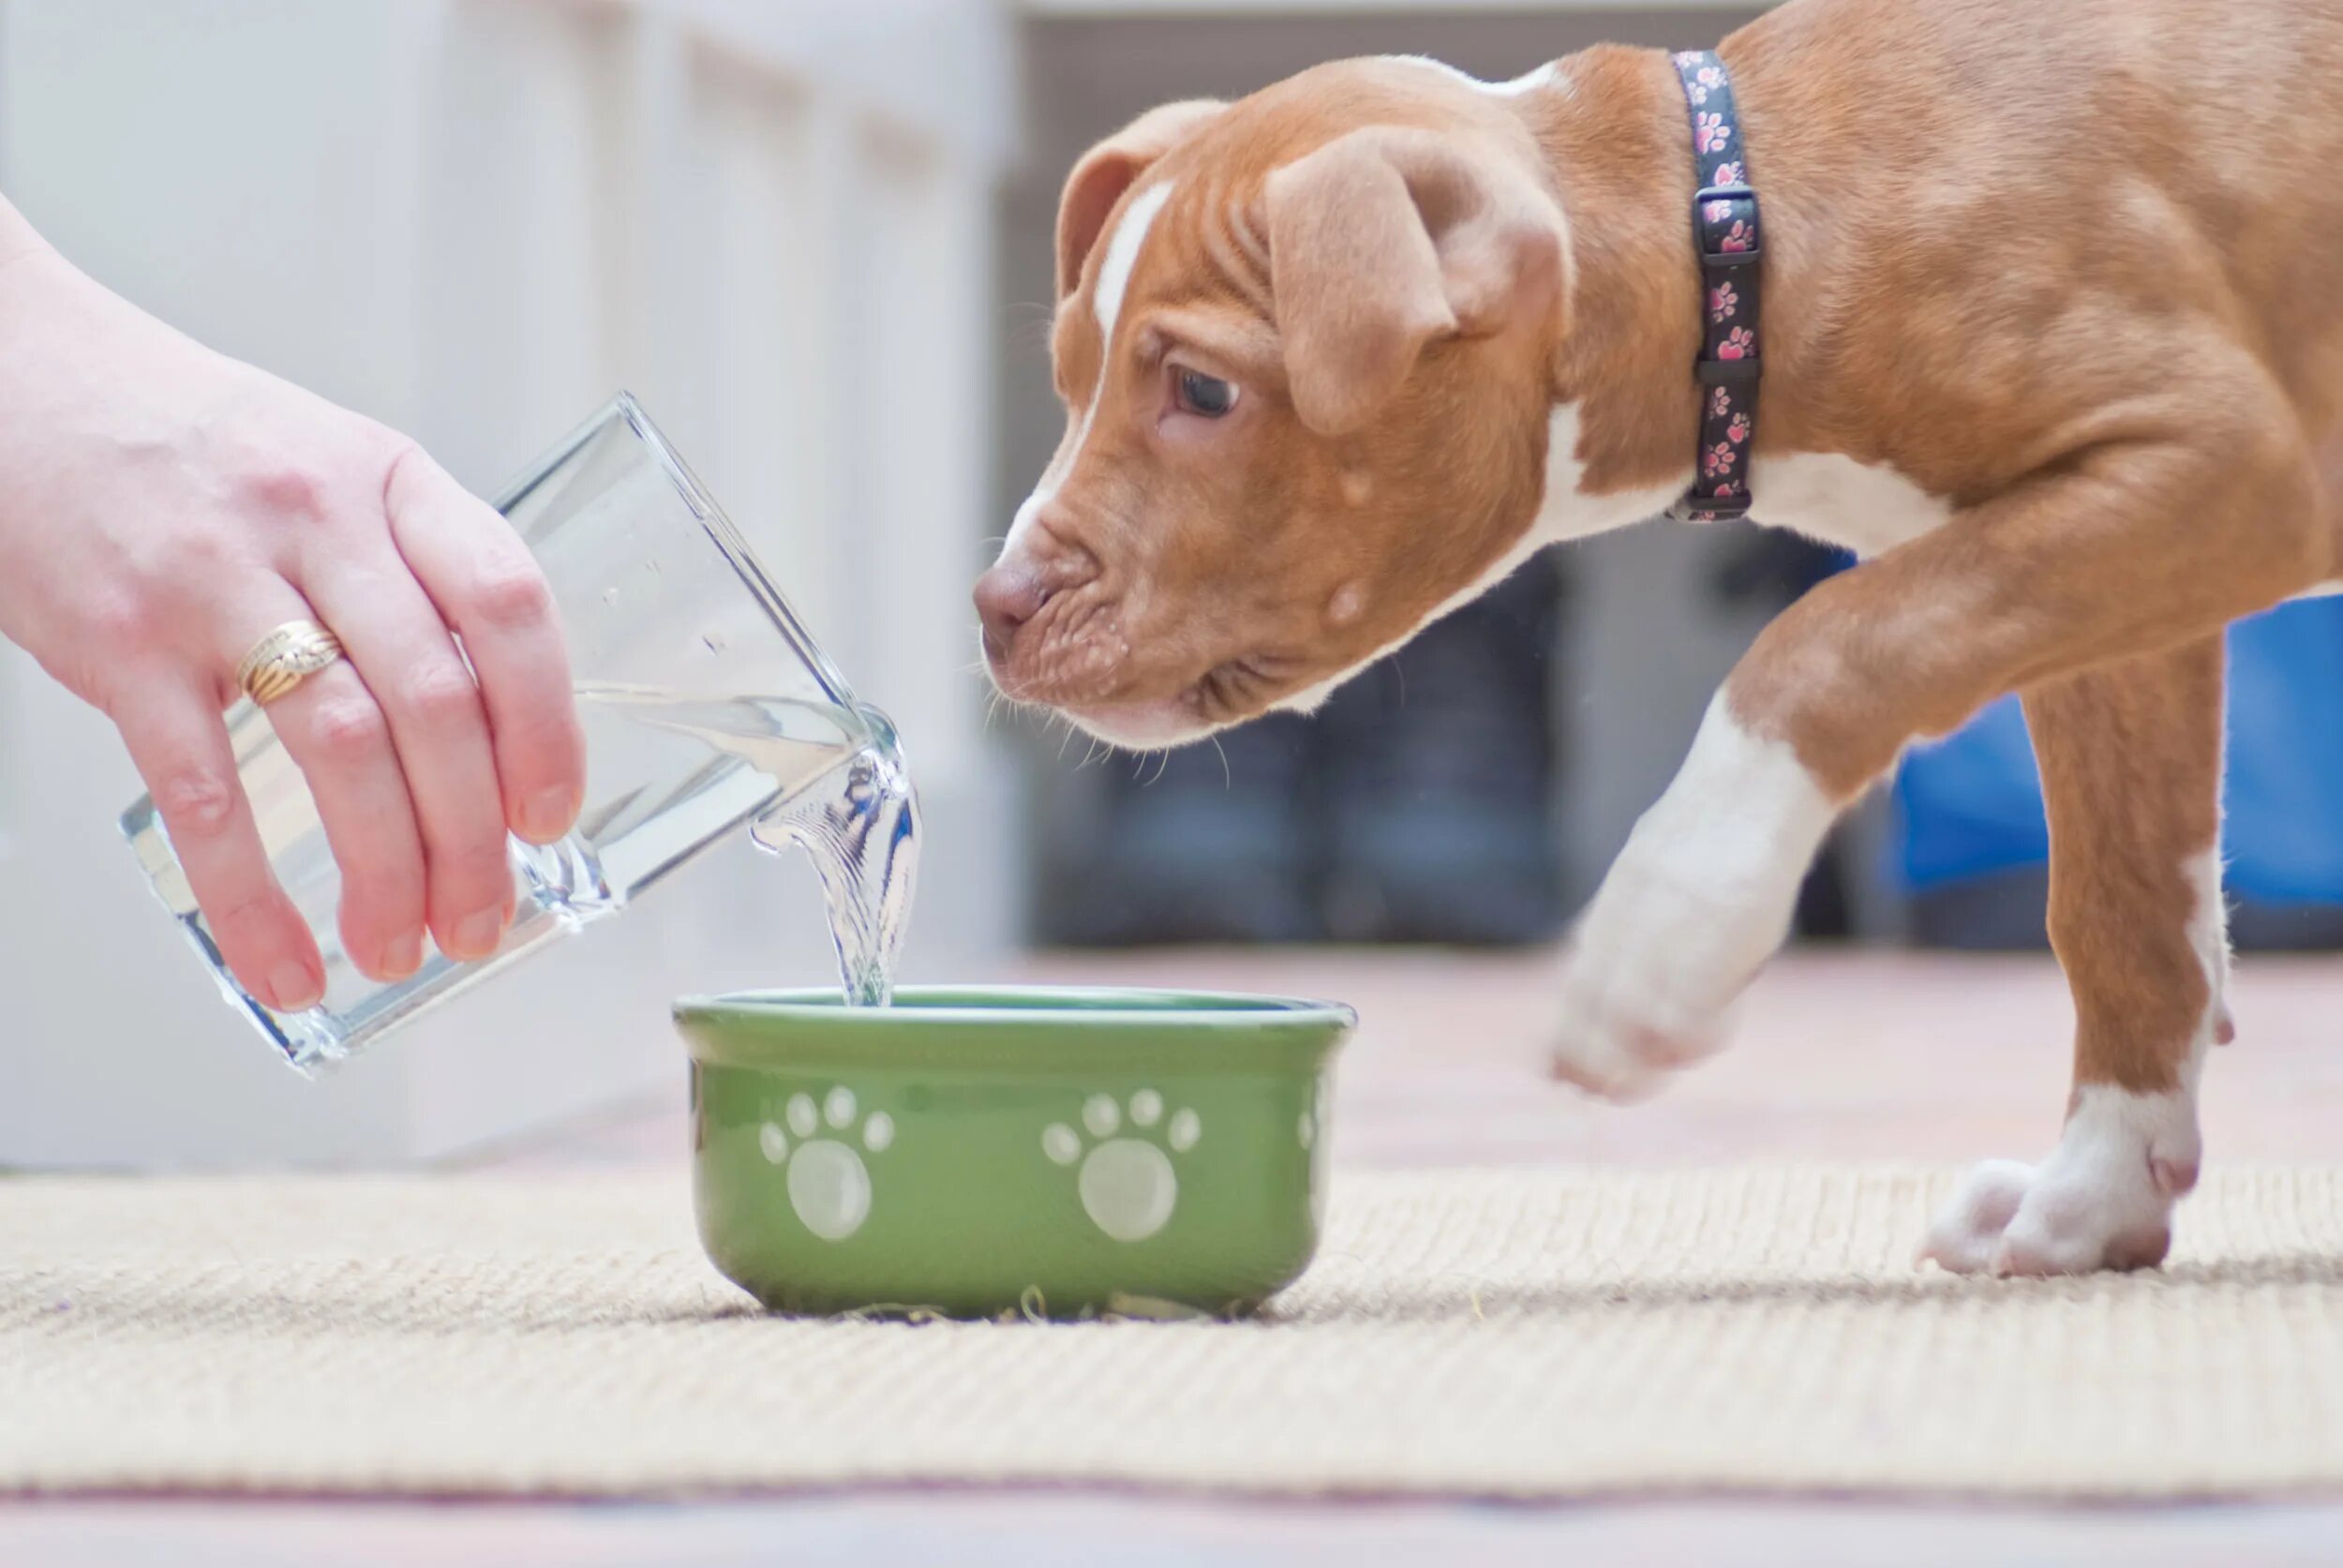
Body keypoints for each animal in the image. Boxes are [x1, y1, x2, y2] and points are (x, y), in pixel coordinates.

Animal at [970, 0, 2343, 1275]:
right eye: (1069, 374)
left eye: (1202, 391)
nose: (995, 605)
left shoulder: (2212, 466)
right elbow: (2119, 903)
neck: (1742, 228)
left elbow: (1824, 640)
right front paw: (2098, 1191)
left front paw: (1668, 931)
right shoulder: (2118, 595)